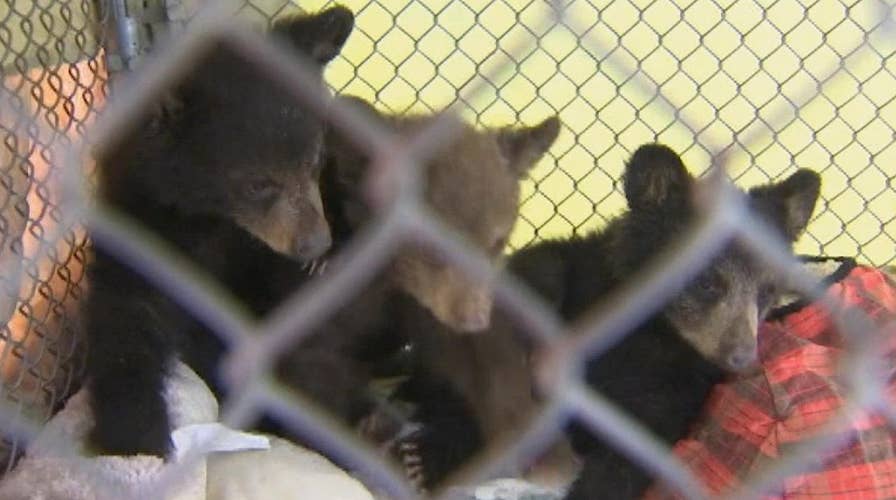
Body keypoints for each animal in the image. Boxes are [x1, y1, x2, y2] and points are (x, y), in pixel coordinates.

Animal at [83, 6, 355, 458]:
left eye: (314, 160)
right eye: (257, 184)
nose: (316, 244)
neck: (211, 219)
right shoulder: (141, 227)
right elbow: (125, 315)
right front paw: (137, 433)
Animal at [385, 143, 821, 497]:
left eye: (767, 291)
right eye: (706, 282)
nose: (742, 357)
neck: (654, 332)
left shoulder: (676, 392)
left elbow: (630, 454)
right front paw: (427, 455)